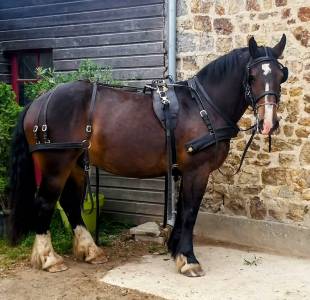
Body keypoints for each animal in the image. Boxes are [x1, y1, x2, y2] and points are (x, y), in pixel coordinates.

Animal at [8, 34, 286, 276]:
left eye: (281, 75)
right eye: (251, 76)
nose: (269, 123)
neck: (203, 106)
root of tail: (39, 100)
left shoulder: (186, 171)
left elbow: (182, 209)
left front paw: (175, 250)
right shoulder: (197, 170)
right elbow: (189, 212)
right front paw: (189, 260)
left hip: (76, 163)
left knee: (70, 203)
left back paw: (90, 250)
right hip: (57, 164)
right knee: (45, 202)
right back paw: (49, 259)